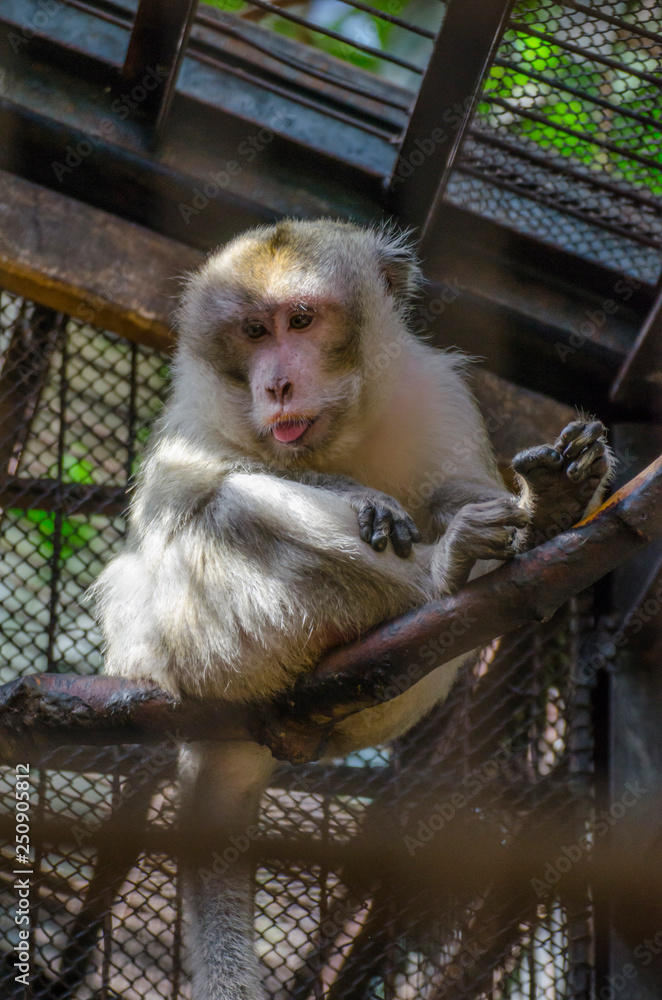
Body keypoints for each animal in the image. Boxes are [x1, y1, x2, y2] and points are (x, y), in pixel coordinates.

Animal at [92, 219, 613, 1000]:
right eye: (253, 331)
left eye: (302, 321)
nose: (275, 382)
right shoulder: (192, 417)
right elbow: (177, 512)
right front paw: (361, 496)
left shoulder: (437, 393)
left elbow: (461, 490)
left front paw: (532, 506)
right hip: (191, 647)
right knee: (233, 514)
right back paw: (437, 577)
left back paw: (538, 523)